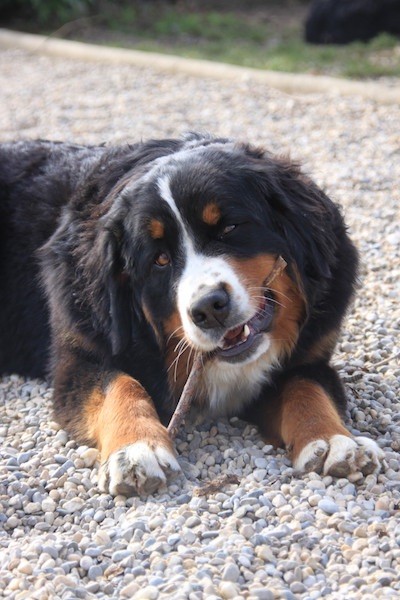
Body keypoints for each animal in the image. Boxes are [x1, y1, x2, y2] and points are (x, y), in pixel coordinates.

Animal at [0, 134, 384, 494]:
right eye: (160, 259)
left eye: (229, 228)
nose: (209, 308)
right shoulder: (79, 359)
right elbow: (120, 386)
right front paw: (137, 449)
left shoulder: (310, 356)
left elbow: (305, 389)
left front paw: (333, 441)